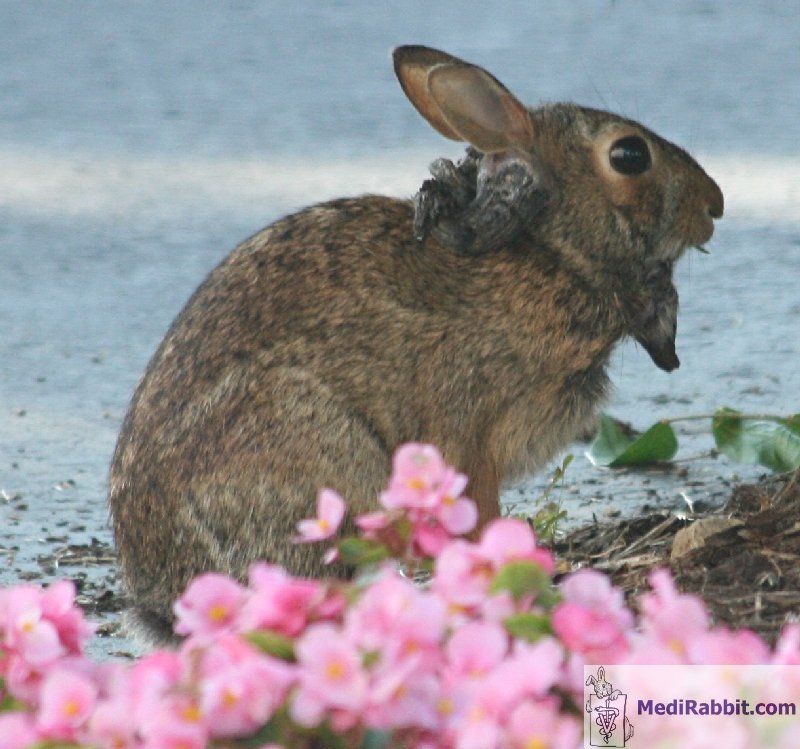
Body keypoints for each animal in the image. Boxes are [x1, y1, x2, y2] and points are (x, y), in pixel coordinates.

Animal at [108, 45, 724, 644]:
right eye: (629, 155)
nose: (714, 204)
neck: (554, 252)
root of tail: (161, 599)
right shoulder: (469, 433)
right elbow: (480, 517)